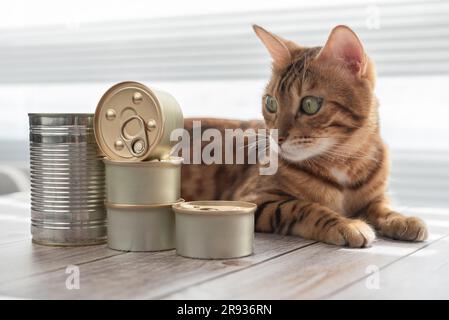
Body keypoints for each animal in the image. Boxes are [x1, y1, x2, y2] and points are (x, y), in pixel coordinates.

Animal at [179, 24, 428, 248]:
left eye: (309, 104)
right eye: (271, 103)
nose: (276, 137)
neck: (344, 161)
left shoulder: (375, 196)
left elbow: (383, 206)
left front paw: (402, 219)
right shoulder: (252, 198)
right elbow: (304, 207)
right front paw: (346, 224)